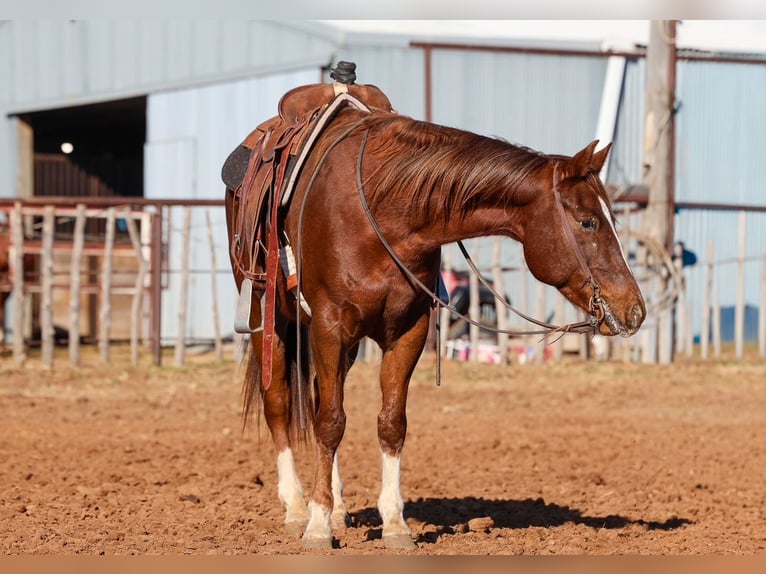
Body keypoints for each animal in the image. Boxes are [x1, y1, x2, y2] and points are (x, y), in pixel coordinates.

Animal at [224, 83, 645, 550]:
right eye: (588, 222)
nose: (634, 310)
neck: (382, 211)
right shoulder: (329, 326)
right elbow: (330, 422)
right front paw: (317, 527)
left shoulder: (408, 329)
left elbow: (390, 422)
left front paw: (393, 524)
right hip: (269, 315)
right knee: (280, 404)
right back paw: (298, 508)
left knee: (319, 399)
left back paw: (337, 507)